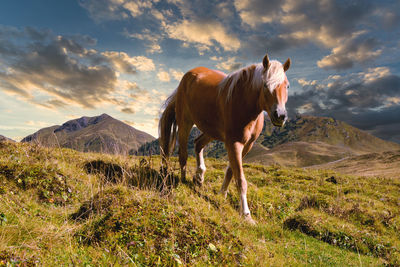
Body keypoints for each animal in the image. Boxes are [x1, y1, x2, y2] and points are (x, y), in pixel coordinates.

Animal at [159, 52, 290, 224]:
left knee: (197, 144)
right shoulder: (234, 143)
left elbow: (230, 171)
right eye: (265, 85)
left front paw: (222, 194)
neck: (244, 103)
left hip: (211, 131)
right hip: (185, 122)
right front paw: (246, 215)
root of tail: (188, 75)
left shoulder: (246, 145)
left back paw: (199, 176)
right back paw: (183, 180)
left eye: (287, 86)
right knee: (183, 154)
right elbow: (240, 179)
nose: (280, 115)